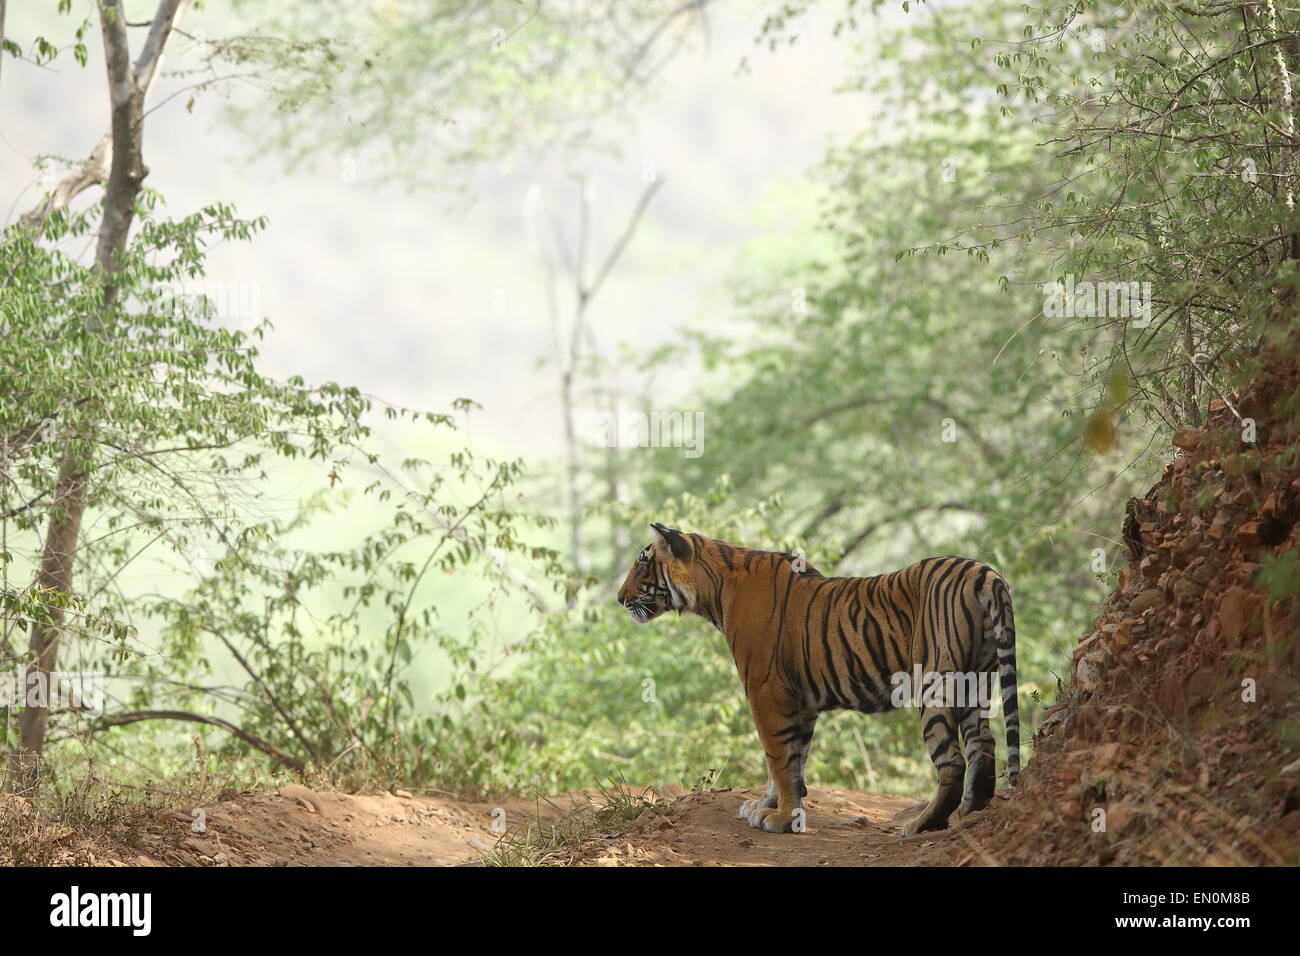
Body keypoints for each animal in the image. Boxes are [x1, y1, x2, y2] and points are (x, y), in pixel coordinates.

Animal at [613, 522, 1019, 837]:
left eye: (642, 564)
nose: (618, 598)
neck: (714, 589)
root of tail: (982, 571)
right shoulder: (801, 703)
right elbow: (794, 761)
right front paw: (768, 806)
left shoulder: (765, 692)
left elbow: (777, 758)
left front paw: (780, 819)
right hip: (975, 680)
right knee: (983, 744)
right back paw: (971, 813)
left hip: (933, 681)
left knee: (952, 760)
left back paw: (921, 824)